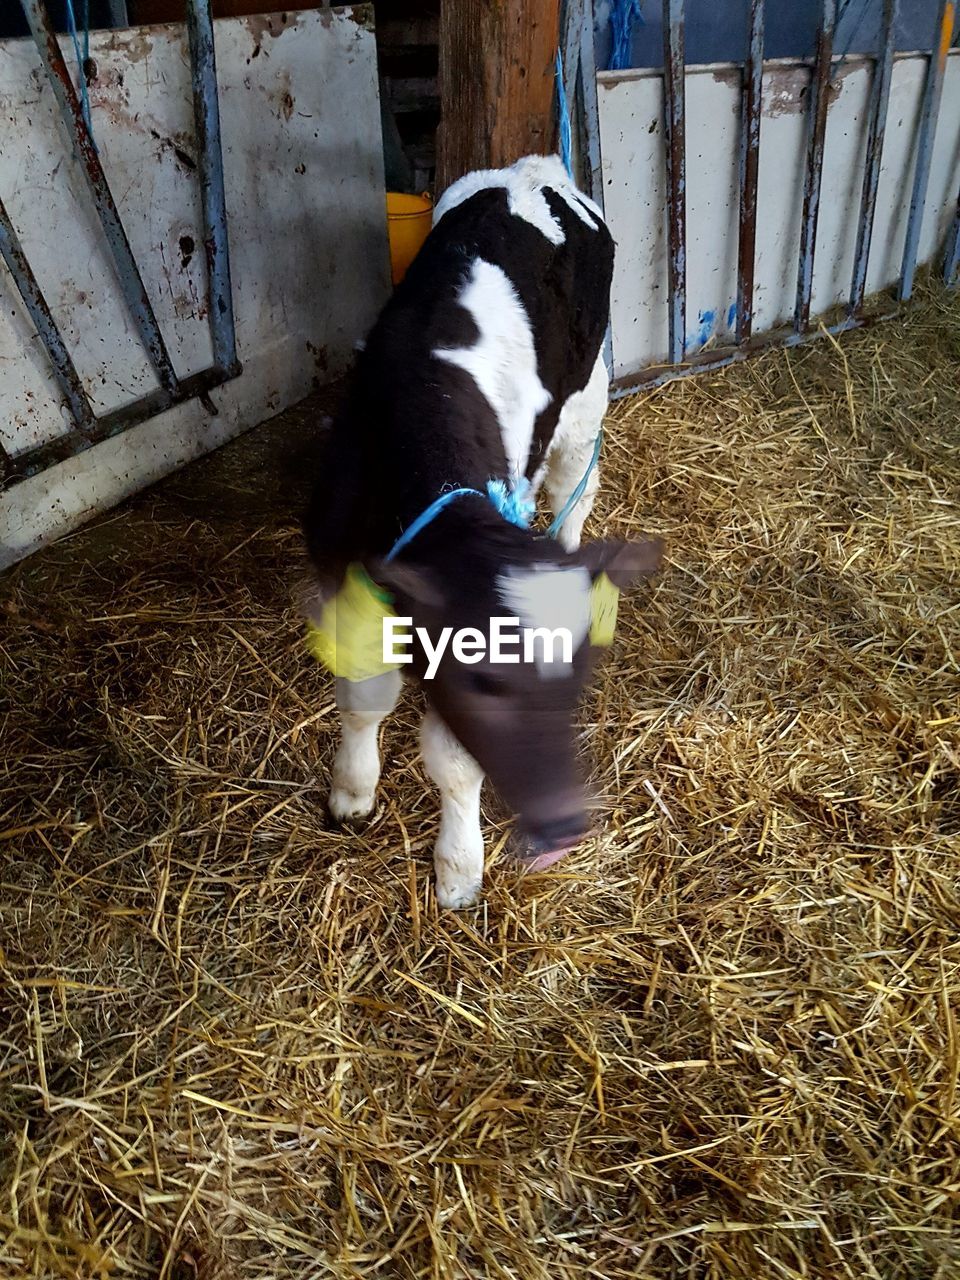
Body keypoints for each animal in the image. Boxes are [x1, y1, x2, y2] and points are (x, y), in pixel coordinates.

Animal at [305, 154, 660, 906]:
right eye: (487, 682)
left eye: (578, 678)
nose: (565, 826)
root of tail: (536, 168)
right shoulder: (339, 562)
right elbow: (365, 696)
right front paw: (352, 790)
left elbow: (453, 761)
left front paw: (459, 865)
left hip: (586, 401)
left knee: (575, 494)